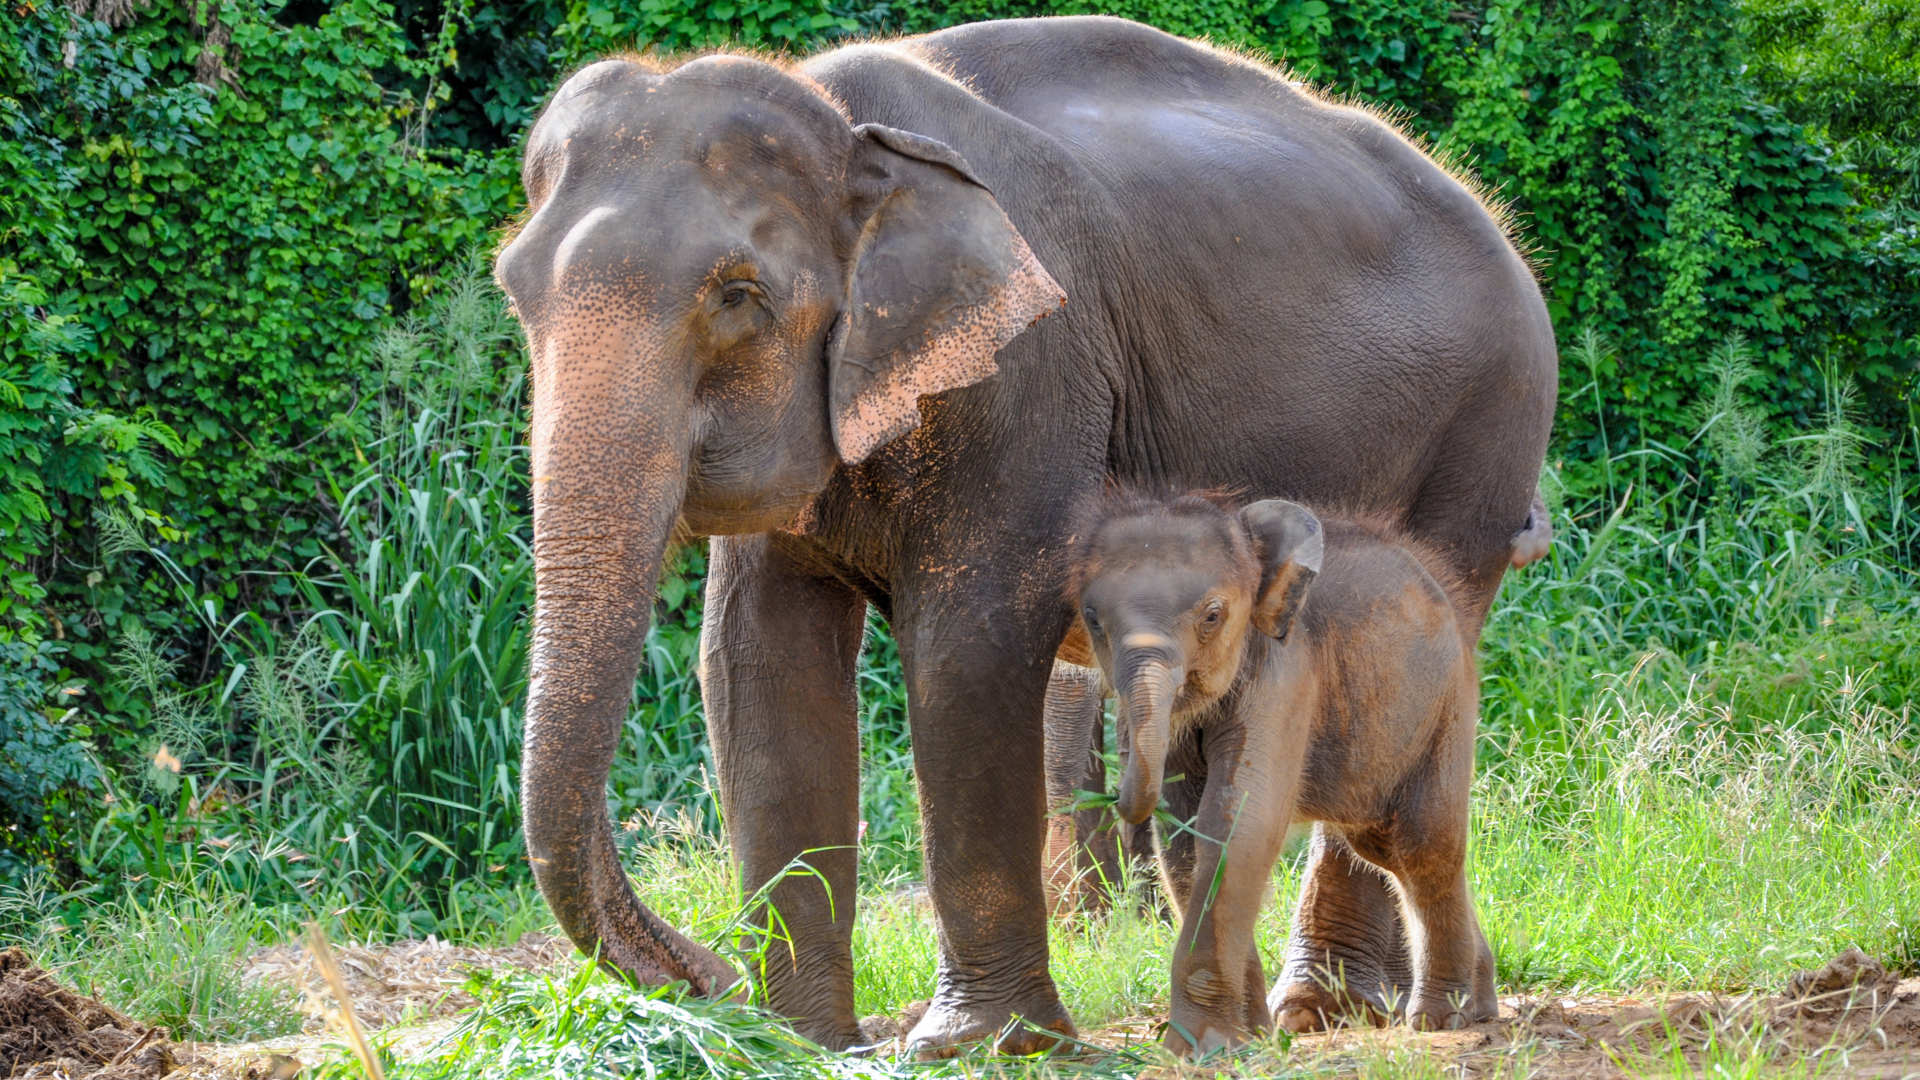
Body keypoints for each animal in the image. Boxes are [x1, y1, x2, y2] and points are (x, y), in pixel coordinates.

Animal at [1067, 491, 1497, 1045]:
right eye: (1093, 619)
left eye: (1212, 616)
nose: (1115, 799)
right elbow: (1185, 840)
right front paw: (1252, 1036)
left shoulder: (1285, 676)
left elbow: (1241, 822)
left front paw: (1200, 1046)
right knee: (1382, 848)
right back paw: (1480, 1007)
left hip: (1445, 705)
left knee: (1424, 844)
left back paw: (1441, 1019)